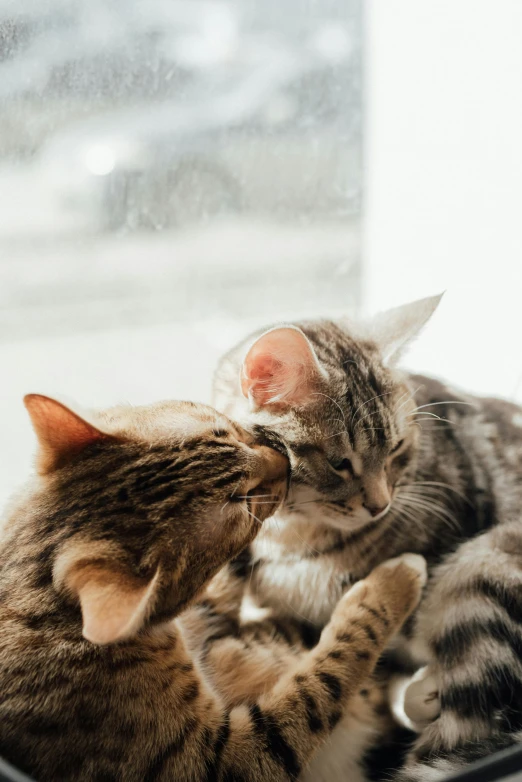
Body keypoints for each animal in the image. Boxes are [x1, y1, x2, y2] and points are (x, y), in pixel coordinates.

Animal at [0, 398, 422, 782]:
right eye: (245, 502)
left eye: (227, 433)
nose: (286, 462)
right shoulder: (223, 760)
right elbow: (323, 677)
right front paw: (393, 582)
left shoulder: (207, 622)